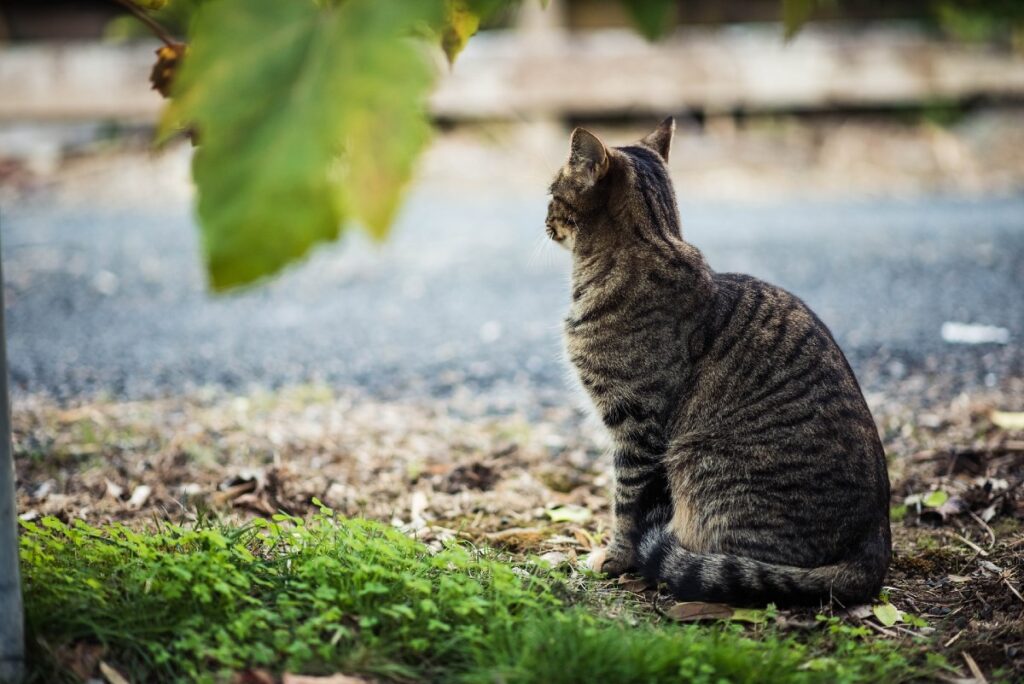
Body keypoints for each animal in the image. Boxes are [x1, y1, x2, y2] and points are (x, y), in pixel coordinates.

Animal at [544, 117, 888, 602]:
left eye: (551, 192)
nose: (543, 221)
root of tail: (875, 546)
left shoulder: (637, 427)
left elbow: (627, 505)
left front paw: (614, 560)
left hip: (698, 463)